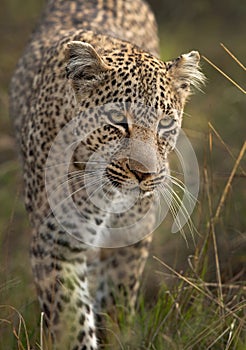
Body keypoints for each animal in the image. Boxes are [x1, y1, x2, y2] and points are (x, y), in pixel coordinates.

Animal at [9, 0, 205, 350]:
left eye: (165, 124)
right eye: (117, 120)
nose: (144, 174)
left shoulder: (132, 235)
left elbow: (118, 299)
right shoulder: (56, 243)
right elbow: (72, 319)